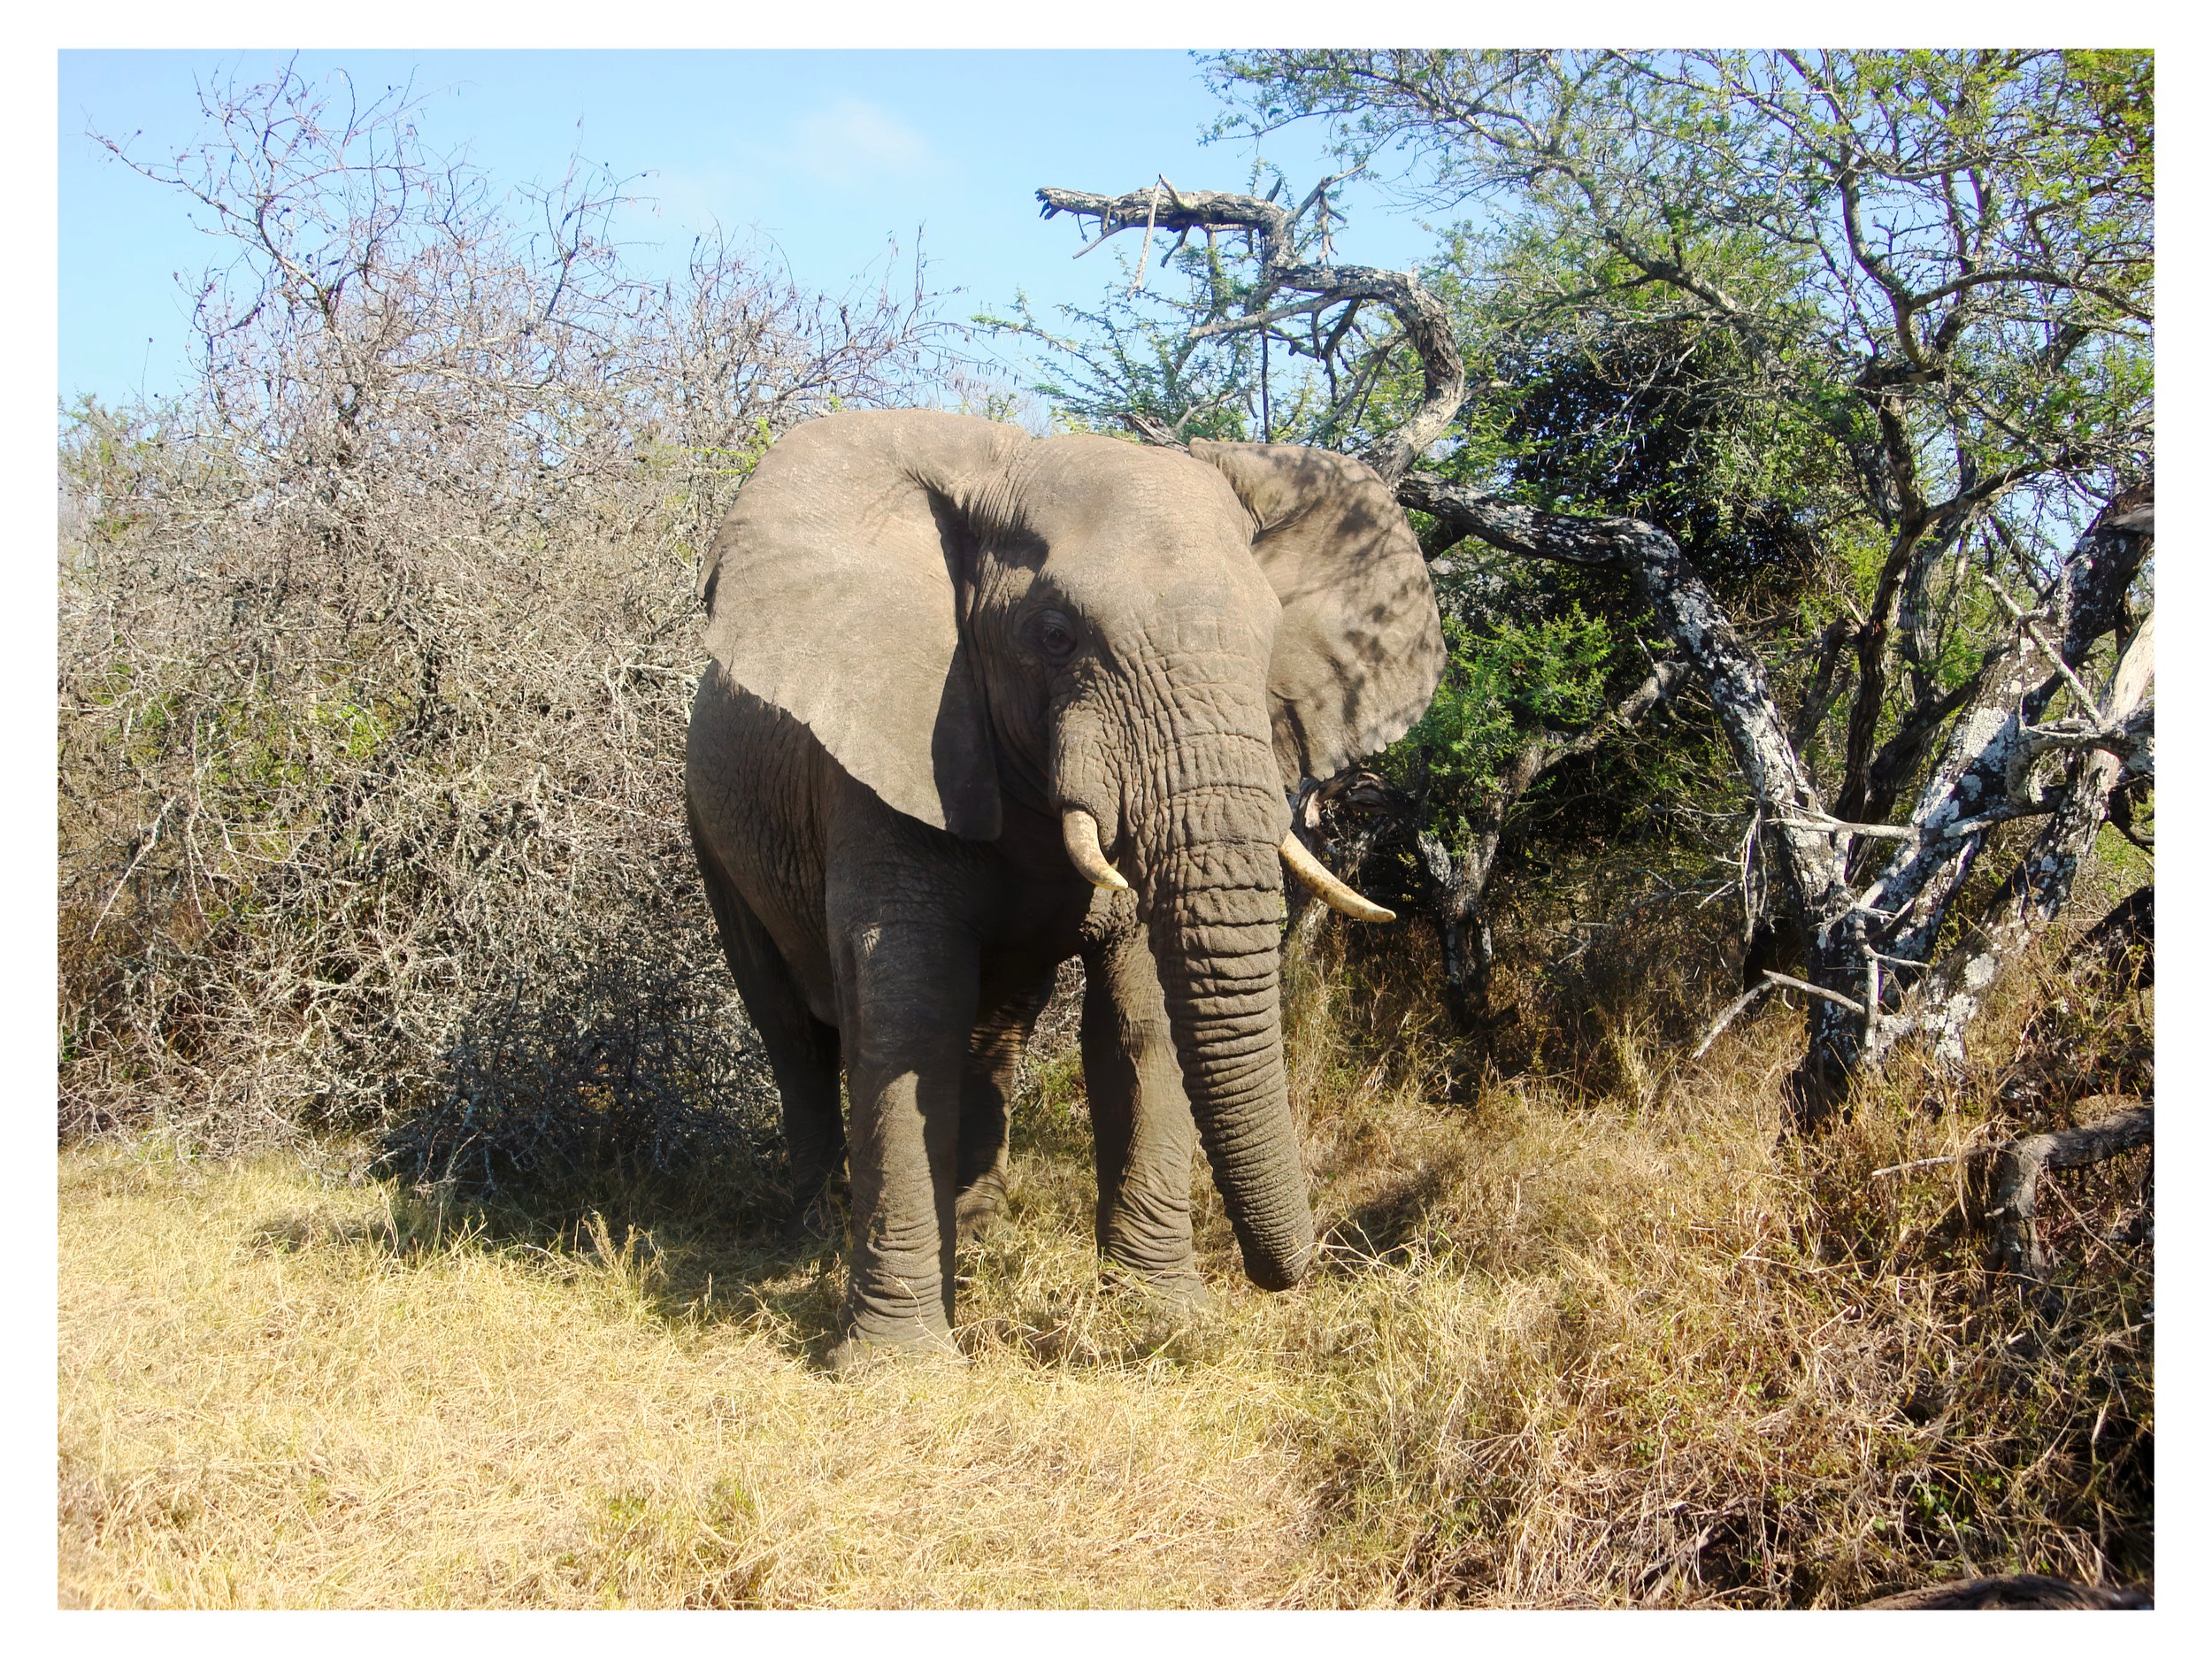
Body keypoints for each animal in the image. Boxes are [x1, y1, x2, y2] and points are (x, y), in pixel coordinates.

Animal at [684, 409, 1444, 1368]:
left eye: (1271, 639)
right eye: (1055, 635)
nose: (1293, 1272)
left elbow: (1140, 1013)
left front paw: (1165, 1315)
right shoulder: (886, 753)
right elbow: (905, 1005)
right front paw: (897, 1367)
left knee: (994, 1027)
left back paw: (976, 1224)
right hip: (710, 826)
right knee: (790, 1030)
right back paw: (809, 1237)